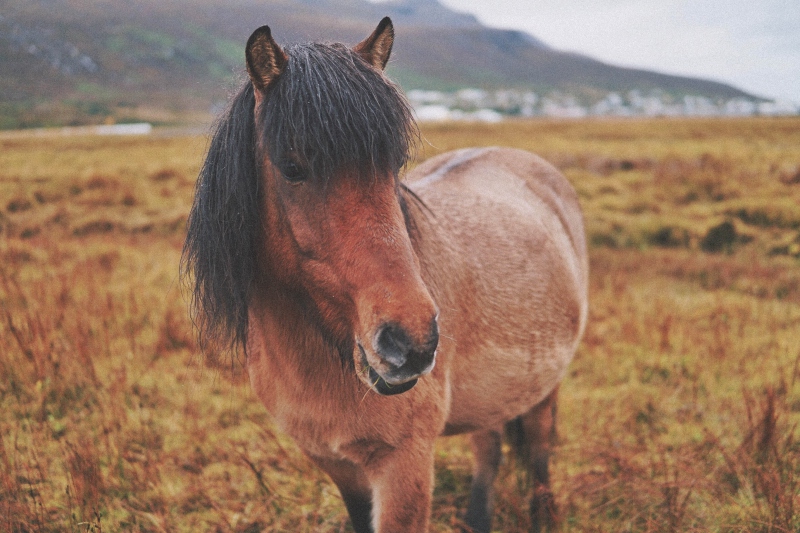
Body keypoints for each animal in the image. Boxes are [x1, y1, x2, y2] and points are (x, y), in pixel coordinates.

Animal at [184, 16, 592, 532]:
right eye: (293, 167)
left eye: (395, 164)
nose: (412, 342)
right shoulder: (339, 466)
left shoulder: (404, 465)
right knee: (489, 447)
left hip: (543, 388)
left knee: (537, 452)